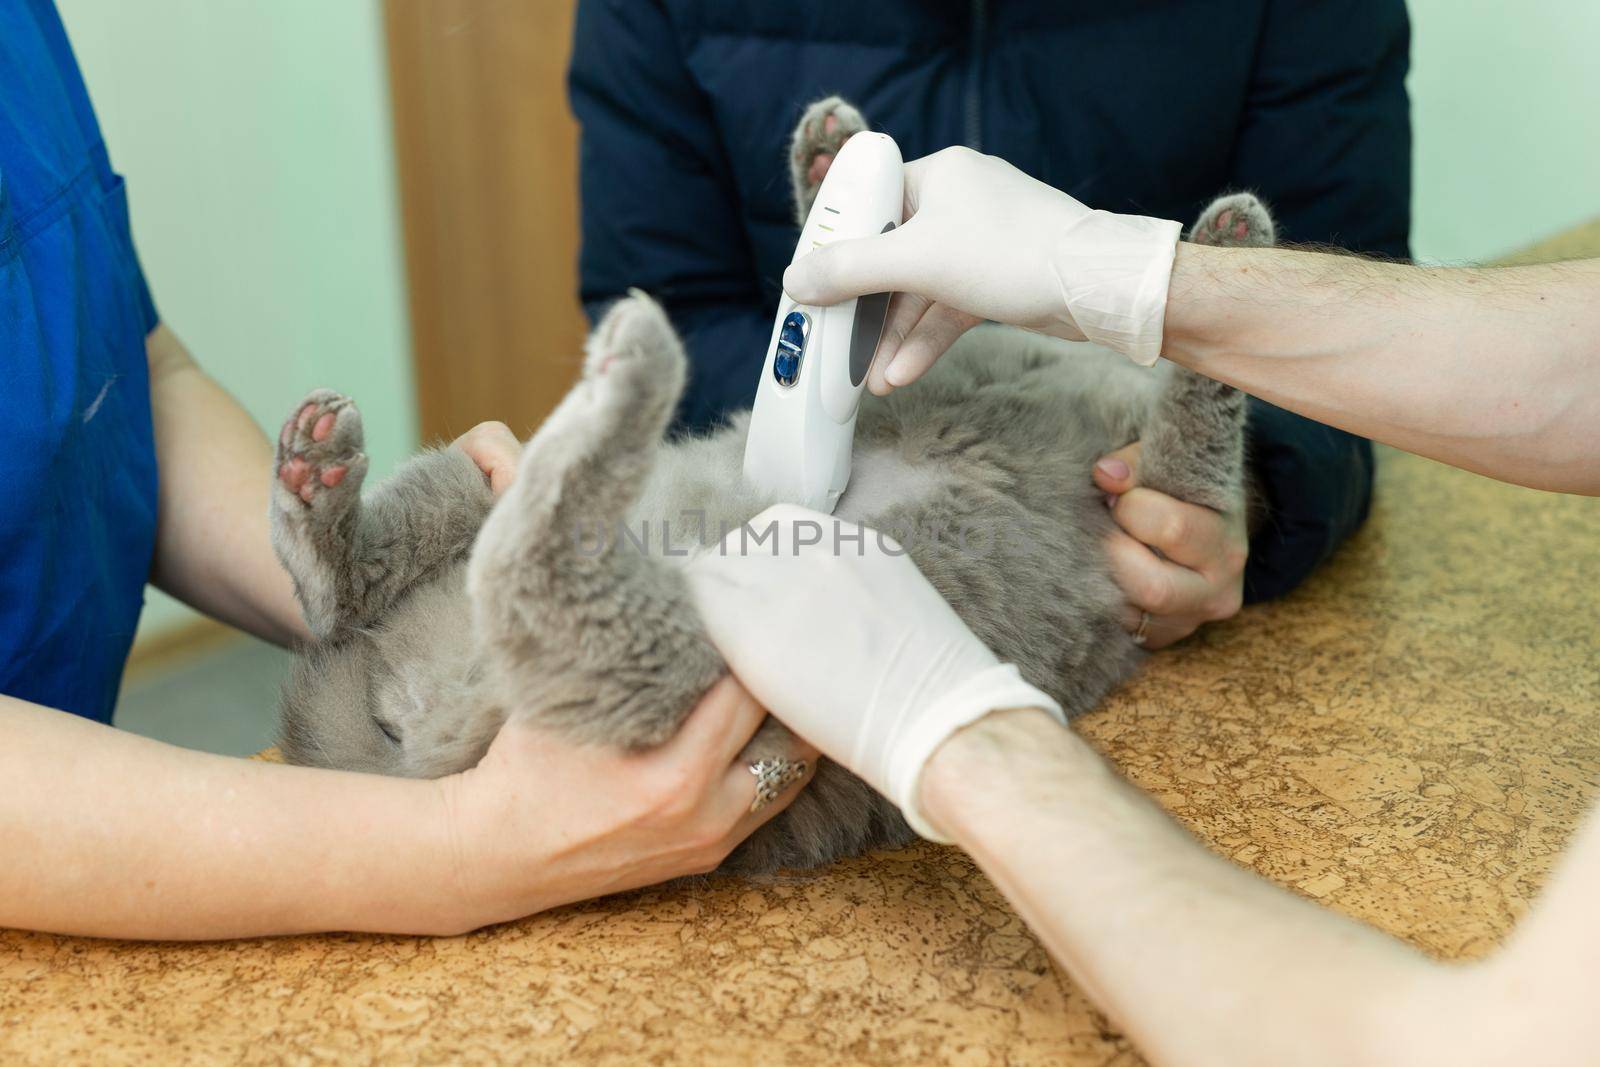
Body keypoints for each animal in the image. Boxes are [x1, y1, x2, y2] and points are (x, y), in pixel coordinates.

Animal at [275, 93, 1273, 876]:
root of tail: (417, 739)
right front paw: (836, 163)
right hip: (493, 491)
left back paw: (615, 378)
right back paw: (331, 485)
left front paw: (1220, 258)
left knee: (524, 570)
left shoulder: (1163, 493)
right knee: (381, 575)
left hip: (676, 659)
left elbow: (1204, 413)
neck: (1049, 370)